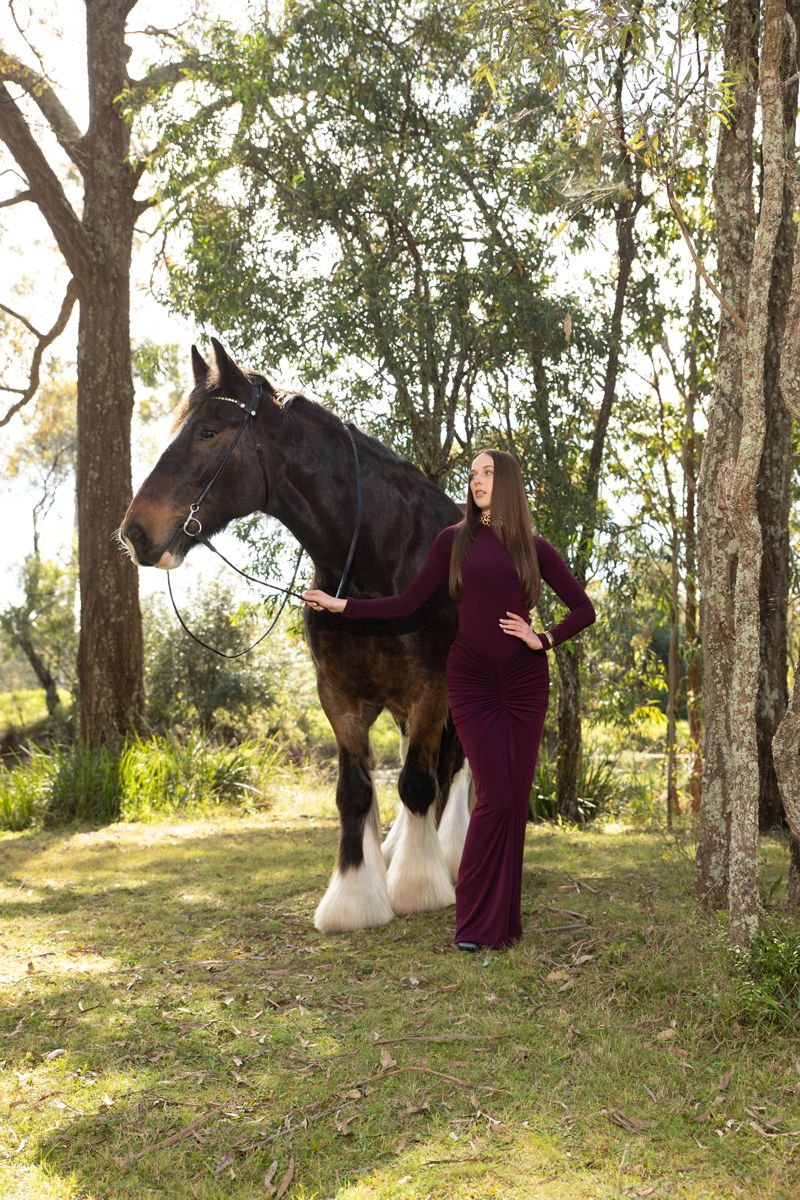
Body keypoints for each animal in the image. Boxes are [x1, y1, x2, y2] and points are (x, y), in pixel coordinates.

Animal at [119, 338, 473, 932]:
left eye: (208, 432)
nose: (135, 533)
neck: (374, 560)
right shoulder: (339, 695)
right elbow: (356, 792)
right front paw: (355, 899)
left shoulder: (431, 689)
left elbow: (417, 784)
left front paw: (419, 889)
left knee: (455, 770)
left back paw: (449, 856)